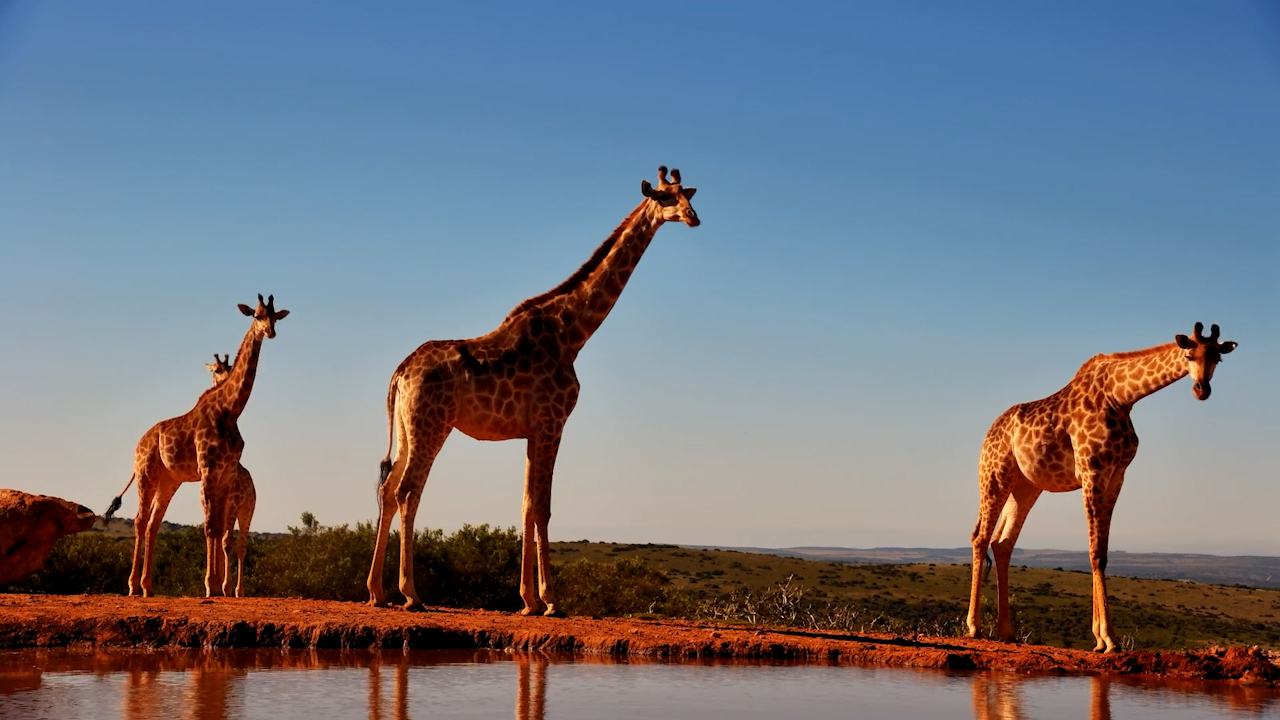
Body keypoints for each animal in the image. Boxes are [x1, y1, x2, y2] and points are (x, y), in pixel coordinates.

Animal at [104, 294, 288, 597]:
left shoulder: (225, 476)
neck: (230, 411)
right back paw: (132, 586)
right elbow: (210, 528)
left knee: (154, 523)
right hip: (146, 474)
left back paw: (147, 586)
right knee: (140, 520)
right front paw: (211, 586)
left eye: (274, 316)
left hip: (170, 480)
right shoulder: (209, 470)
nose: (270, 332)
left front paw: (218, 586)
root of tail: (139, 443)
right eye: (256, 315)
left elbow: (218, 529)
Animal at [367, 166, 700, 613]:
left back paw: (377, 591)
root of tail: (399, 372)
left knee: (387, 489)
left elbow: (526, 504)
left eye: (687, 195)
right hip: (431, 425)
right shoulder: (552, 422)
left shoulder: (531, 431)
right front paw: (552, 601)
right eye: (664, 197)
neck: (573, 333)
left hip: (405, 428)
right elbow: (543, 507)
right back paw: (411, 594)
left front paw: (527, 600)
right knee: (407, 491)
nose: (693, 217)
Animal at [967, 322, 1237, 652]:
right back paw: (974, 627)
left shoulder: (1116, 475)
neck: (1120, 398)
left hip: (1026, 486)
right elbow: (1095, 551)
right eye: (1189, 355)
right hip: (994, 475)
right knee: (980, 536)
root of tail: (989, 431)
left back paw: (1006, 632)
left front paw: (1099, 638)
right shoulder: (1092, 472)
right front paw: (1108, 638)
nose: (1202, 389)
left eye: (1217, 359)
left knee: (1003, 542)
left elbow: (1104, 553)